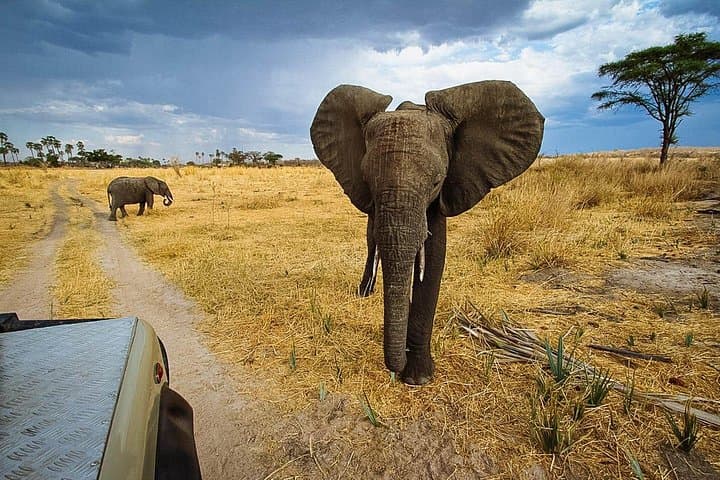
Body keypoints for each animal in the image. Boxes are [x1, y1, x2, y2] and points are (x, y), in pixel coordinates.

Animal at [310, 81, 544, 385]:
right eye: (367, 181)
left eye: (436, 182)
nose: (395, 369)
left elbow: (434, 257)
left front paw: (418, 379)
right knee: (371, 236)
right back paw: (365, 292)